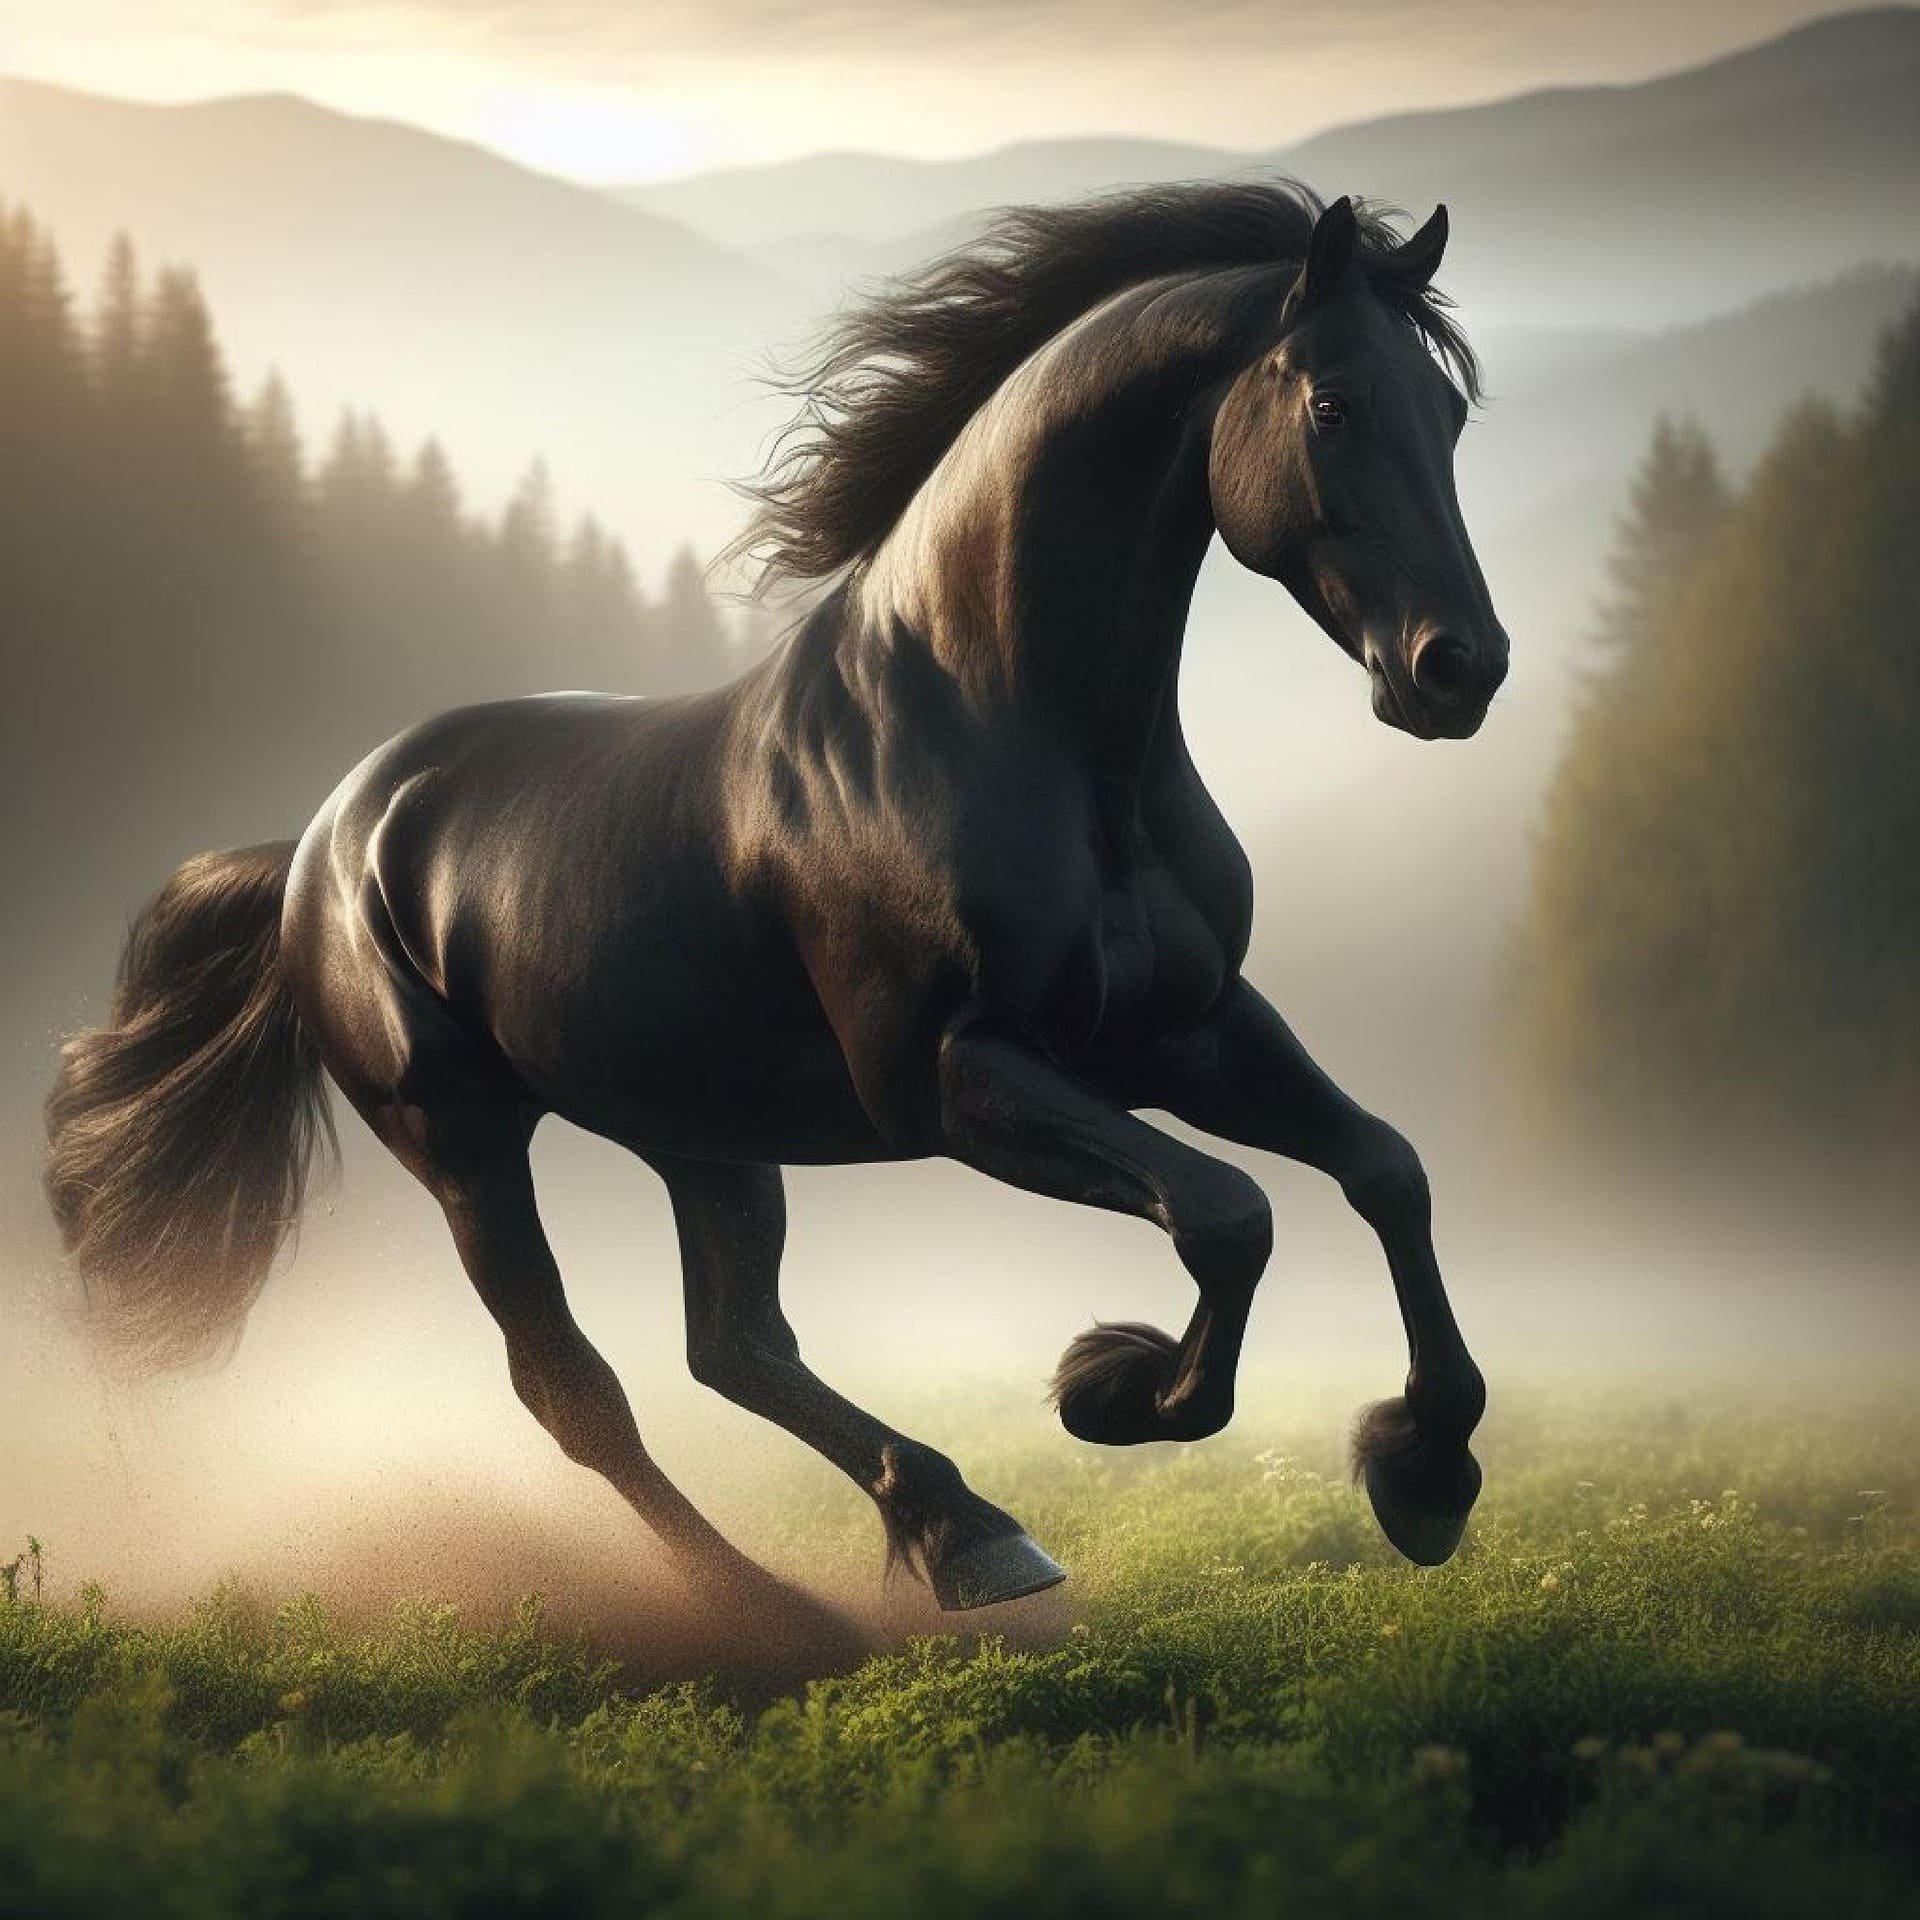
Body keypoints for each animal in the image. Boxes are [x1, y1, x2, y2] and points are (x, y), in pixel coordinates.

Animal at [46, 183, 1507, 1621]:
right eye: (1334, 405)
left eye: (1448, 414)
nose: (1461, 670)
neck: (1017, 730)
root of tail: (325, 837)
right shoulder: (949, 1078)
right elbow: (1226, 1211)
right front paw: (1112, 1382)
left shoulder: (1187, 1033)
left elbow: (1385, 1169)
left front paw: (1425, 1475)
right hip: (459, 1138)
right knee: (574, 1387)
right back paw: (786, 1606)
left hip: (702, 1131)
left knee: (733, 1347)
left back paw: (959, 1529)